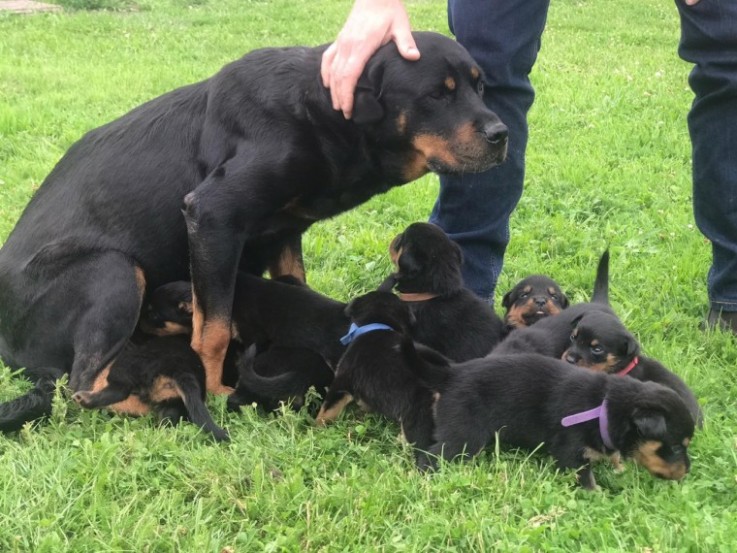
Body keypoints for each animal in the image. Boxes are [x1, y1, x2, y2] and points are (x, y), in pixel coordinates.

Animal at [74, 334, 230, 442]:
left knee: (120, 390)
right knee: (168, 419)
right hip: (172, 403)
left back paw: (83, 398)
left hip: (127, 364)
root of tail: (181, 368)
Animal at [402, 348, 696, 490]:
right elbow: (586, 480)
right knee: (431, 458)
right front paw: (598, 498)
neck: (604, 407)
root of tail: (450, 374)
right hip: (464, 435)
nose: (686, 472)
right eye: (676, 446)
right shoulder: (570, 452)